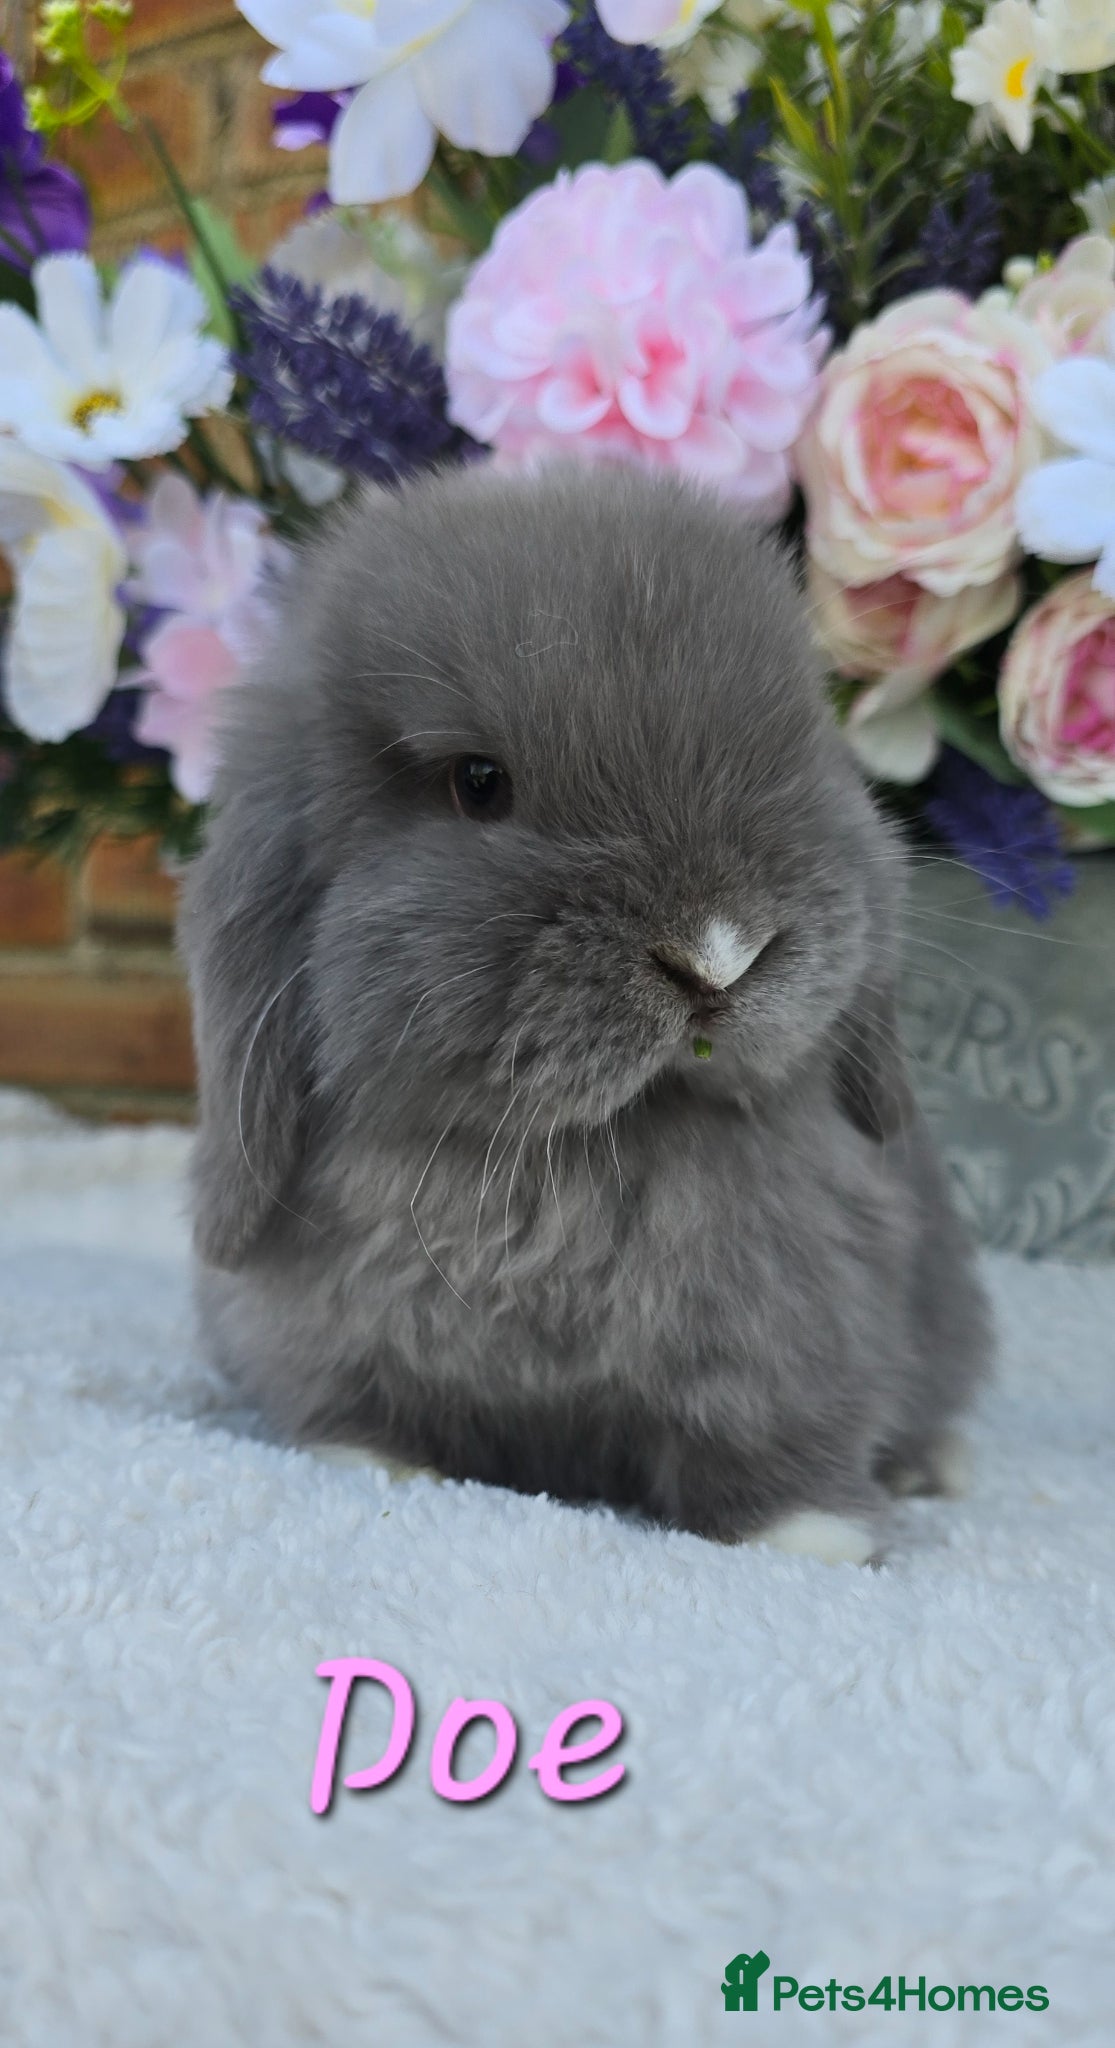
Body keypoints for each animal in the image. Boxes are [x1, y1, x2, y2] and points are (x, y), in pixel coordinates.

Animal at [180, 461, 993, 1565]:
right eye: (479, 783)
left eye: (799, 749)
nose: (718, 953)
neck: (569, 1157)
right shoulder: (321, 1332)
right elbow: (351, 1412)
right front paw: (373, 1467)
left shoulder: (797, 1329)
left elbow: (777, 1439)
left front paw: (809, 1536)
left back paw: (931, 1467)